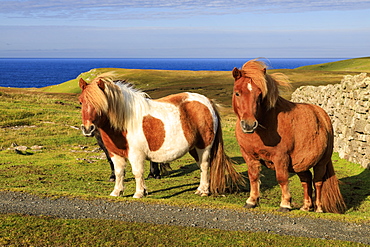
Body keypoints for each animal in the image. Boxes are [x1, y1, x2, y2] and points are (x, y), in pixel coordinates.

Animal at [78, 73, 243, 199]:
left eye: (100, 103)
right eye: (81, 102)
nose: (88, 129)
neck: (124, 121)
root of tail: (207, 102)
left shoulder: (136, 154)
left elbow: (137, 173)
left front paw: (139, 193)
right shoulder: (114, 154)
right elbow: (119, 173)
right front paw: (116, 192)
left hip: (204, 147)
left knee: (204, 165)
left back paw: (204, 191)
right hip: (194, 148)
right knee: (201, 166)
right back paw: (200, 189)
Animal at [233, 59, 346, 214]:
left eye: (260, 95)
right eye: (237, 93)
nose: (249, 125)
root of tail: (323, 115)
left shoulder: (280, 157)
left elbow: (282, 179)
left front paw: (285, 204)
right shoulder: (249, 156)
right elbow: (253, 176)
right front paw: (251, 201)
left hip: (321, 162)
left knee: (318, 182)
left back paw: (318, 208)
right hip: (300, 163)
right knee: (306, 179)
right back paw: (306, 206)